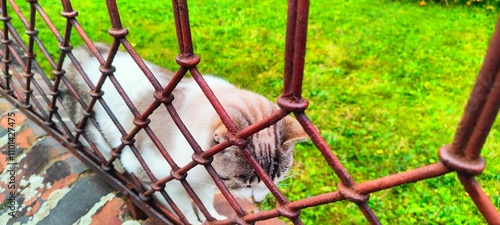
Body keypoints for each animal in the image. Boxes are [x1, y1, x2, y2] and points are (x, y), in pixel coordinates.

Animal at [60, 43, 306, 224]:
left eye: (278, 179)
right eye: (245, 184)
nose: (259, 199)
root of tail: (79, 50)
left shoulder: (208, 183)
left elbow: (205, 203)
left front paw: (214, 218)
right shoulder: (160, 179)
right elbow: (185, 208)